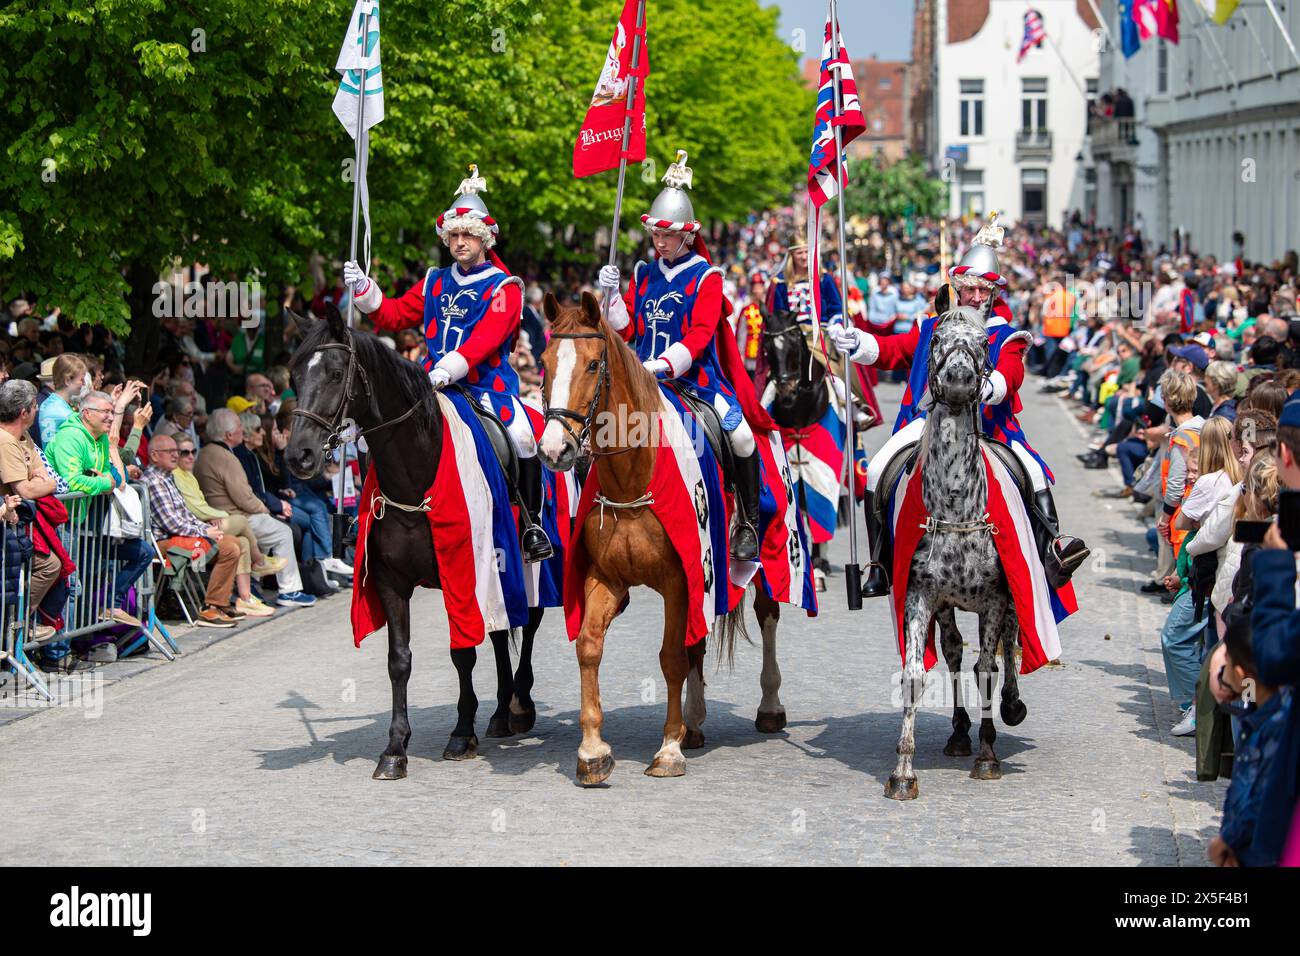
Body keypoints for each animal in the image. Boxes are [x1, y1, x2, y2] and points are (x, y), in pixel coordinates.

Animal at [883, 304, 1024, 801]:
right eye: (937, 336)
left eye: (983, 342)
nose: (961, 378)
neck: (957, 502)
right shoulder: (921, 596)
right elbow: (914, 676)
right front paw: (903, 772)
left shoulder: (997, 597)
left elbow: (988, 668)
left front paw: (988, 755)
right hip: (946, 606)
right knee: (954, 651)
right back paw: (961, 731)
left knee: (1007, 643)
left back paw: (1009, 707)